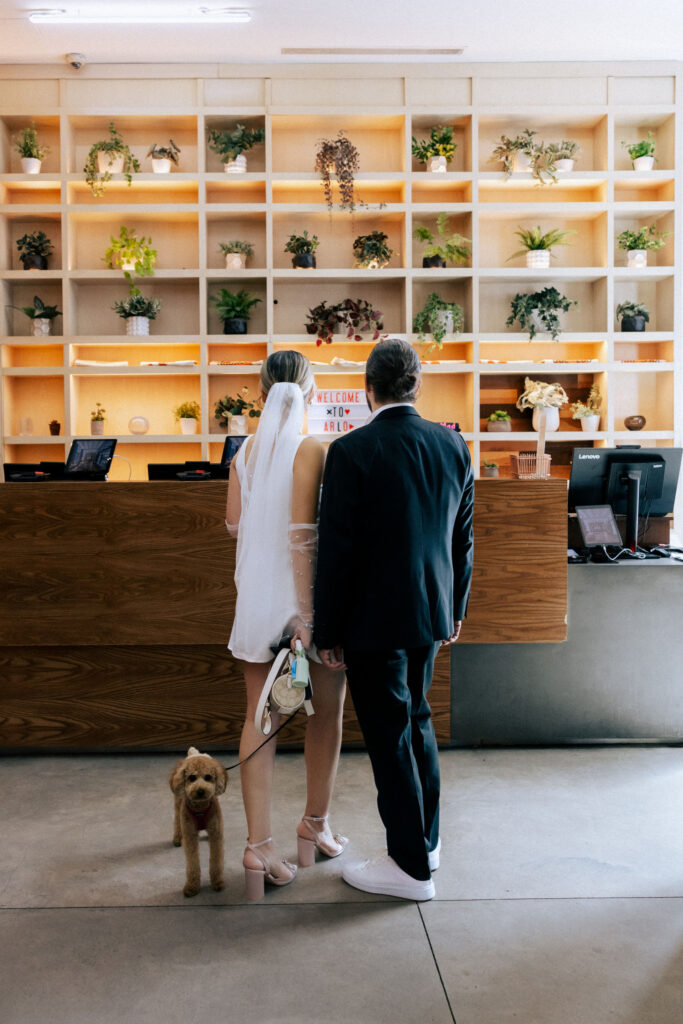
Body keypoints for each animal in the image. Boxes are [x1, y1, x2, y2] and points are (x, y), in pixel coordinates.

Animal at [168, 745, 228, 897]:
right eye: (192, 777)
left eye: (208, 777)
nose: (200, 791)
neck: (200, 808)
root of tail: (194, 753)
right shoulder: (190, 835)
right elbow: (193, 864)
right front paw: (192, 886)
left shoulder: (216, 834)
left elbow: (216, 861)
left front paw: (217, 882)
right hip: (178, 804)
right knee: (176, 821)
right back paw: (177, 838)